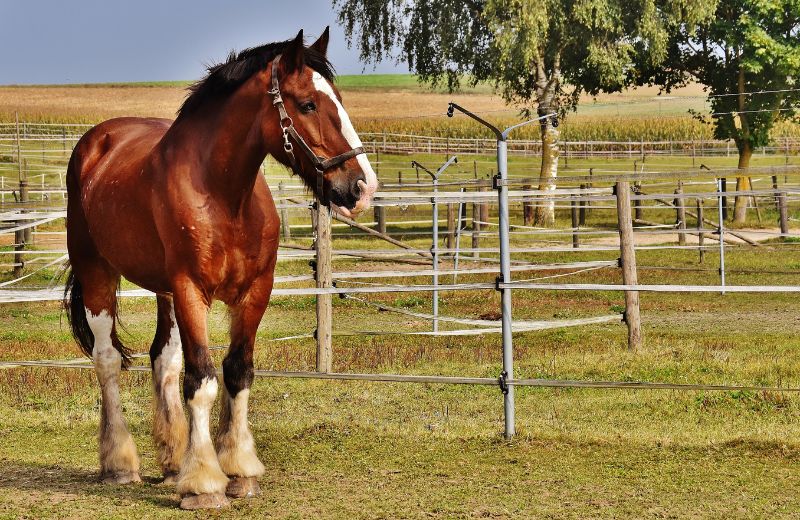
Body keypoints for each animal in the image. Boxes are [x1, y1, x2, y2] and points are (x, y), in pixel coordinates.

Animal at [62, 28, 378, 508]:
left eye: (339, 99)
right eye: (308, 104)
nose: (362, 187)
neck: (224, 197)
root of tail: (96, 142)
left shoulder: (253, 291)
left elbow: (236, 372)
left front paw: (238, 469)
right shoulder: (192, 290)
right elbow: (203, 380)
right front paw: (204, 483)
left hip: (164, 293)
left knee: (163, 360)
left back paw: (172, 459)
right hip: (98, 273)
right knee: (108, 361)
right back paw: (120, 463)